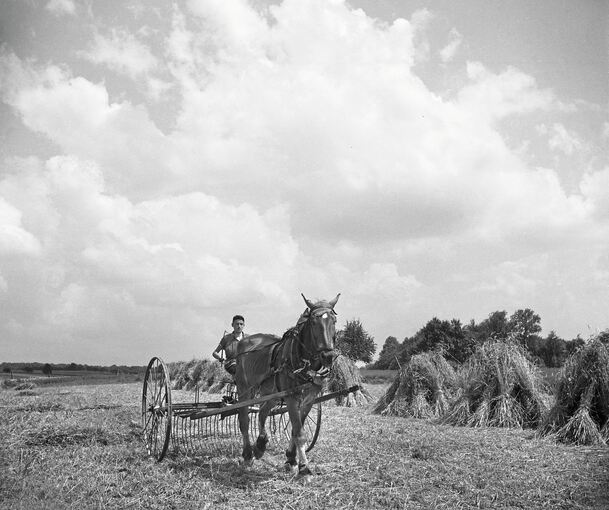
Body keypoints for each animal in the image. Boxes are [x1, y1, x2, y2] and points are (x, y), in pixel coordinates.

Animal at [233, 292, 340, 476]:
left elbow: (295, 429)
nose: (328, 356)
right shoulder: (291, 398)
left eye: (334, 320)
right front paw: (304, 469)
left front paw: (291, 458)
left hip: (272, 392)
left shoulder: (309, 399)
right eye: (313, 322)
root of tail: (244, 341)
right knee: (244, 420)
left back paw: (261, 444)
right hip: (244, 389)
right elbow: (299, 432)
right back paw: (247, 454)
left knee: (262, 412)